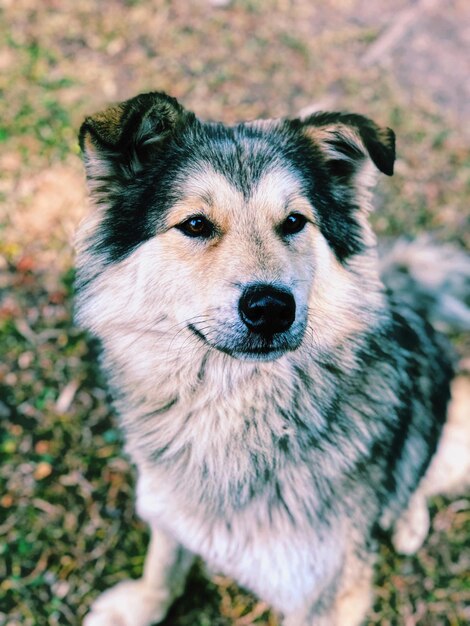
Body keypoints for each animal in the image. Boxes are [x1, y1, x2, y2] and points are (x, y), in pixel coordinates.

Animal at [75, 94, 468, 624]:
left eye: (294, 222)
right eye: (195, 224)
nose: (271, 308)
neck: (237, 410)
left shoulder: (331, 595)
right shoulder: (168, 505)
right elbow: (163, 564)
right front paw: (140, 606)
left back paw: (407, 519)